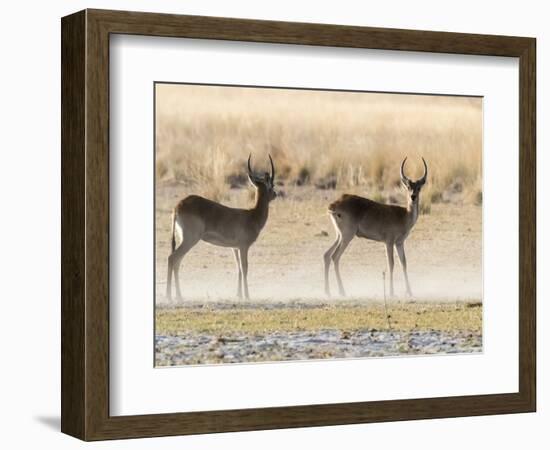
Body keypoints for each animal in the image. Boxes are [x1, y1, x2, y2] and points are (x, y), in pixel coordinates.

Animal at [163, 155, 276, 302]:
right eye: (272, 185)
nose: (275, 194)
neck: (252, 215)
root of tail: (178, 206)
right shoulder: (244, 246)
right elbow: (245, 268)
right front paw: (247, 296)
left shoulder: (235, 248)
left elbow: (238, 268)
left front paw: (239, 295)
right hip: (190, 240)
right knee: (172, 258)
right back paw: (169, 296)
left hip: (183, 239)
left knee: (177, 262)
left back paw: (179, 296)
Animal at [326, 156, 430, 298]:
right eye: (408, 186)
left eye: (419, 187)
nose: (413, 197)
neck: (404, 215)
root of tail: (334, 204)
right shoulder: (389, 242)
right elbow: (391, 264)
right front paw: (391, 293)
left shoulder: (399, 243)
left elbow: (404, 263)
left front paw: (409, 291)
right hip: (347, 236)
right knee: (335, 257)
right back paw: (342, 292)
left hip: (339, 235)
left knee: (326, 255)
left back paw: (328, 292)